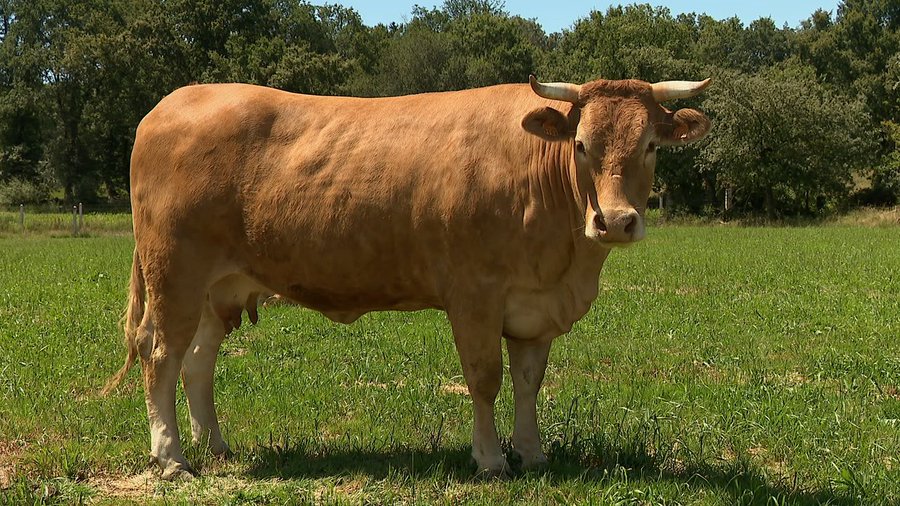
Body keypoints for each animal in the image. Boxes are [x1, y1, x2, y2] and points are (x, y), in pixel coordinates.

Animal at [103, 74, 712, 478]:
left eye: (650, 146)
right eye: (581, 144)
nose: (616, 221)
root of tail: (172, 102)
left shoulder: (534, 305)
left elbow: (528, 381)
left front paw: (533, 452)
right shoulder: (474, 295)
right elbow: (485, 379)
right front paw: (491, 458)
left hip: (218, 289)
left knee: (197, 363)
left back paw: (215, 446)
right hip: (174, 275)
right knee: (162, 355)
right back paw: (171, 456)